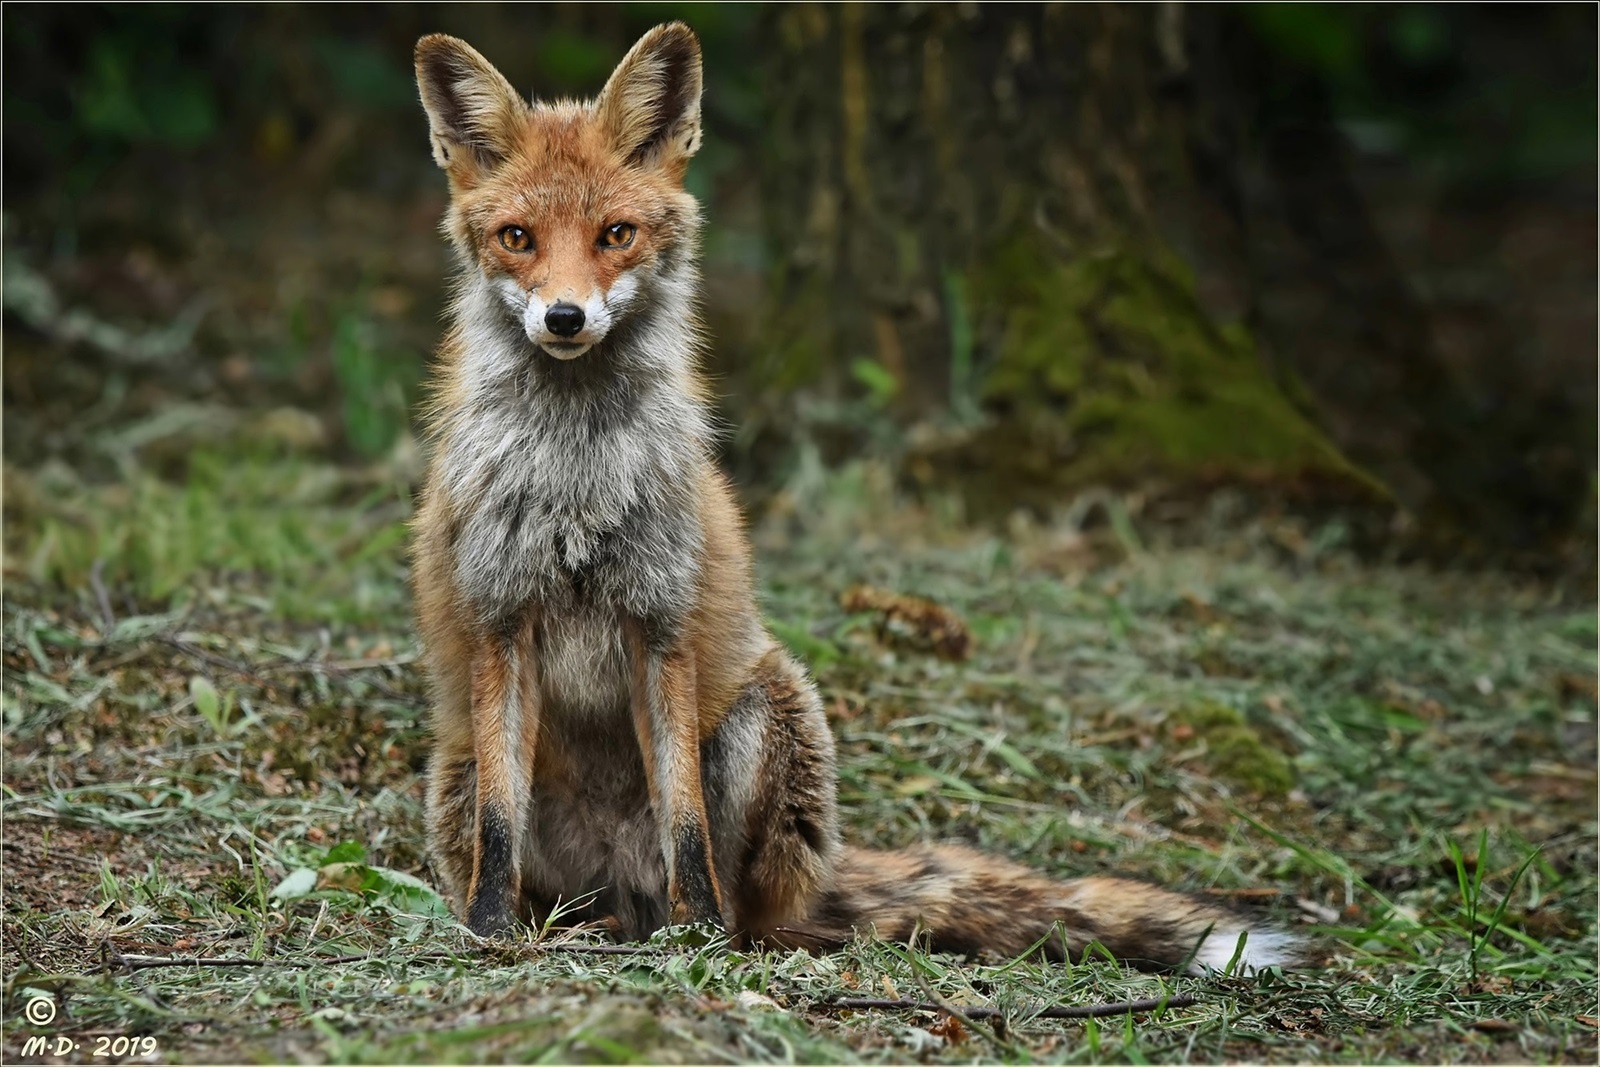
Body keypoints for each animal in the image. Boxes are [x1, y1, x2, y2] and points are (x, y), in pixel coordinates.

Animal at [409, 22, 1299, 979]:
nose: (566, 318)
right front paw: (489, 931)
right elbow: (502, 825)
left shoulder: (663, 623)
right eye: (518, 237)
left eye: (616, 234)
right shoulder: (500, 622)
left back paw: (696, 928)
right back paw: (572, 926)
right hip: (458, 761)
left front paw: (698, 940)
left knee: (742, 903)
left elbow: (684, 818)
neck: (576, 478)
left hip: (772, 706)